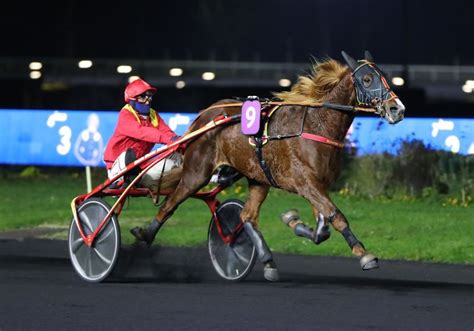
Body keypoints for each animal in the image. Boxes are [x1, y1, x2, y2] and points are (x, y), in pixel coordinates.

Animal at [132, 50, 404, 282]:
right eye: (367, 79)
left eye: (385, 76)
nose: (397, 109)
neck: (316, 125)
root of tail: (204, 116)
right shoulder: (306, 183)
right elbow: (336, 217)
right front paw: (364, 254)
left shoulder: (318, 186)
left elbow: (322, 230)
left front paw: (292, 220)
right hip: (197, 173)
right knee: (169, 204)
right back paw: (144, 235)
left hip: (258, 178)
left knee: (247, 216)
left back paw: (266, 260)